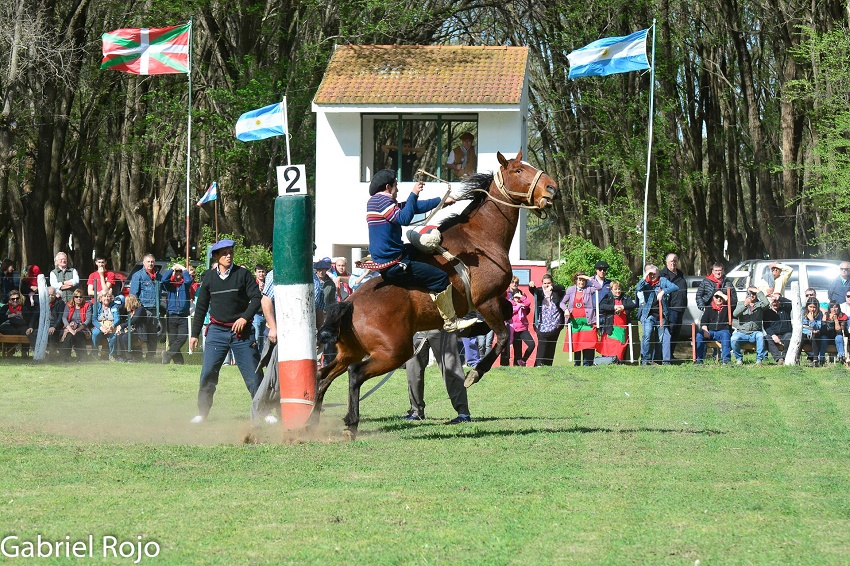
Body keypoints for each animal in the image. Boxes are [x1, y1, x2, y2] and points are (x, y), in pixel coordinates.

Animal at [312, 151, 556, 440]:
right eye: (518, 170)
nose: (552, 188)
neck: (480, 238)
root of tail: (349, 303)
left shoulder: (495, 300)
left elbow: (505, 316)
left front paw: (470, 330)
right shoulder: (486, 301)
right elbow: (503, 336)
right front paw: (474, 373)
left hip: (351, 351)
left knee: (324, 375)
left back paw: (310, 422)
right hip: (393, 352)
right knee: (355, 374)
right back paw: (350, 423)